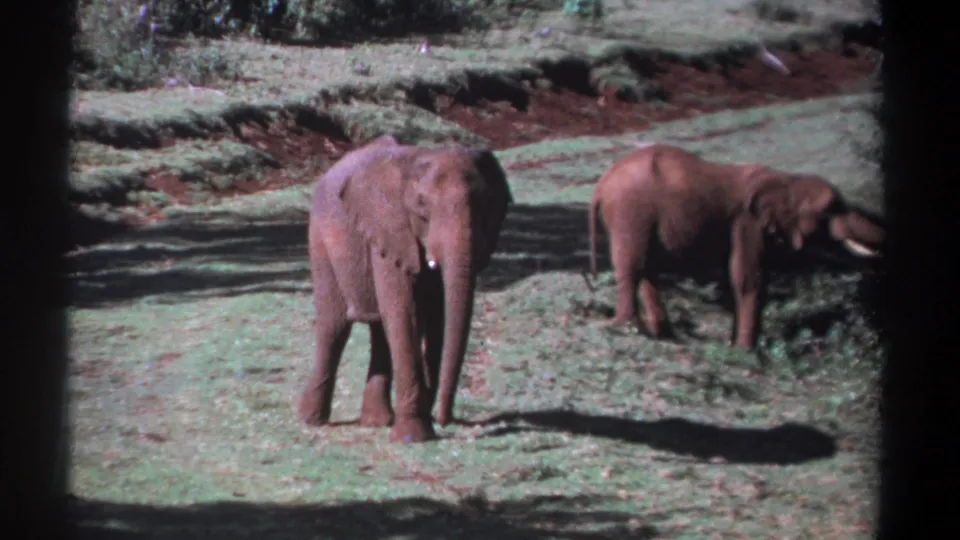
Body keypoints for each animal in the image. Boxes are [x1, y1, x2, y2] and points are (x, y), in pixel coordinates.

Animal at [297, 134, 514, 443]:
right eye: (421, 205)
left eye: (484, 204)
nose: (444, 420)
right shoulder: (389, 227)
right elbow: (406, 313)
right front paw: (414, 436)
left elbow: (436, 315)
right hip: (320, 240)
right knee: (334, 326)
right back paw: (311, 420)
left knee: (379, 330)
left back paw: (377, 421)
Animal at [587, 143, 885, 350]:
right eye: (829, 210)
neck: (787, 182)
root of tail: (602, 184)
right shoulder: (747, 224)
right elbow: (748, 277)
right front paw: (746, 352)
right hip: (631, 212)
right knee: (633, 266)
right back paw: (628, 328)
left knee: (649, 269)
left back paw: (666, 336)